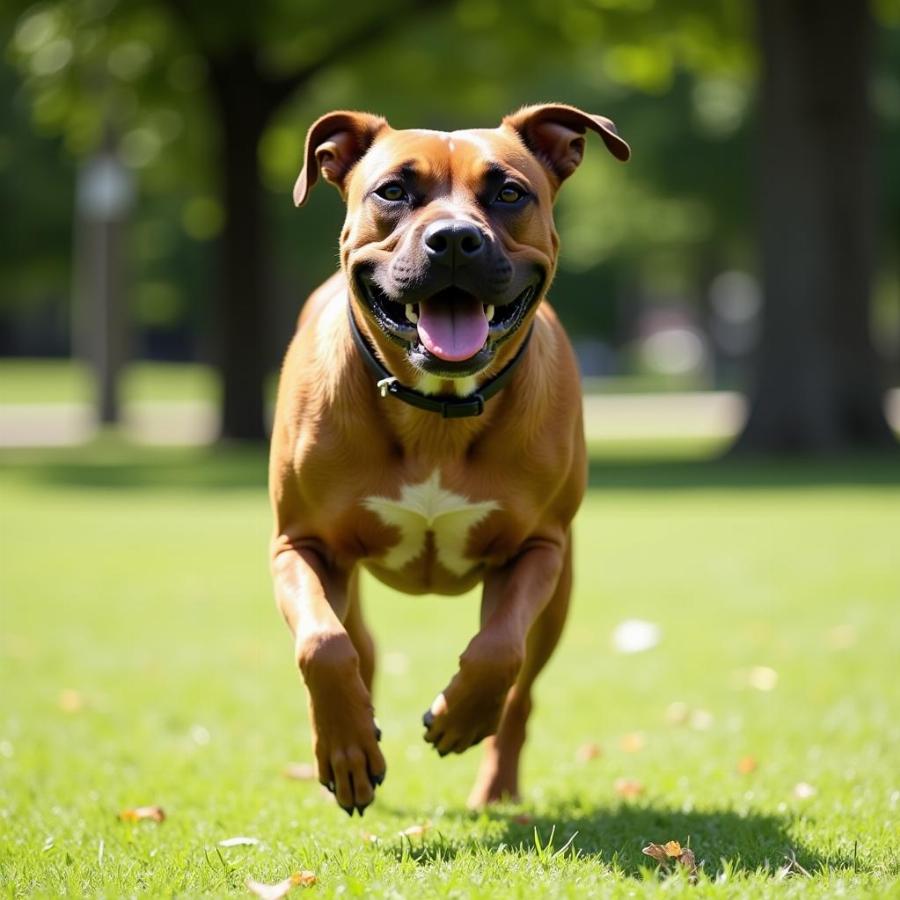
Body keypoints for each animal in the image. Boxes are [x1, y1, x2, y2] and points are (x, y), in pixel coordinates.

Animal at [270, 105, 628, 816]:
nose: (457, 239)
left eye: (510, 193)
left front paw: (461, 716)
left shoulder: (537, 549)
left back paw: (496, 783)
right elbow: (324, 645)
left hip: (560, 595)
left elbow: (498, 649)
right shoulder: (299, 545)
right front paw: (347, 748)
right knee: (358, 645)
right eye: (392, 191)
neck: (436, 409)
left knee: (522, 689)